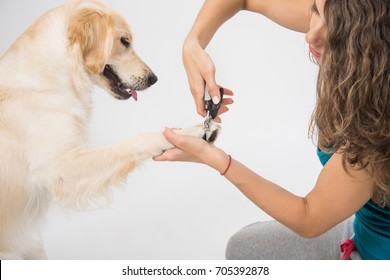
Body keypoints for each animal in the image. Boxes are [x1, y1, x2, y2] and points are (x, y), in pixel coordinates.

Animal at [0, 0, 219, 260]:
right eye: (124, 41)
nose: (153, 79)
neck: (50, 72)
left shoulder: (31, 242)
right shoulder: (63, 169)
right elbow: (134, 142)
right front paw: (190, 132)